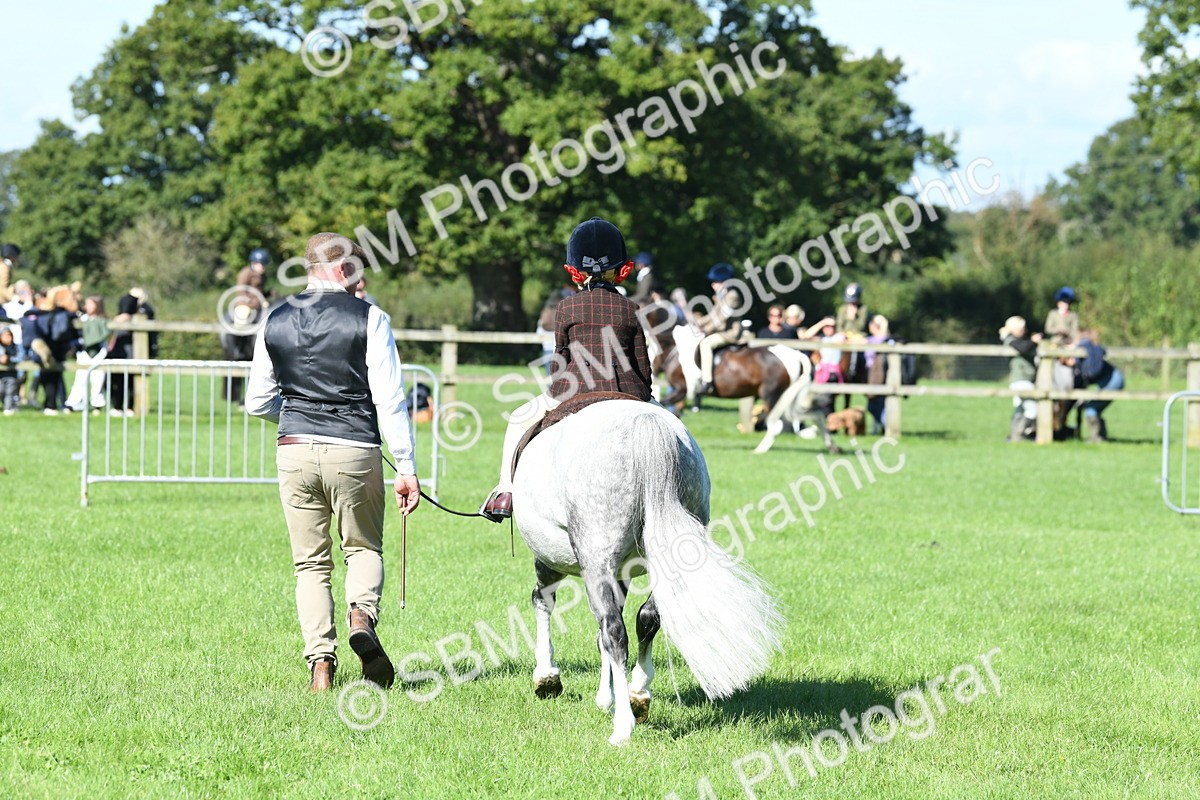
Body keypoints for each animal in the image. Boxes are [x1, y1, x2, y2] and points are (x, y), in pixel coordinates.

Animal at [511, 399, 783, 745]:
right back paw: (638, 693)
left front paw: (547, 677)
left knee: (613, 630)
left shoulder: (553, 560)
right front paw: (608, 695)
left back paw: (622, 726)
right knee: (647, 617)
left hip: (593, 557)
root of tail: (645, 424)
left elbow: (545, 603)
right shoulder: (621, 572)